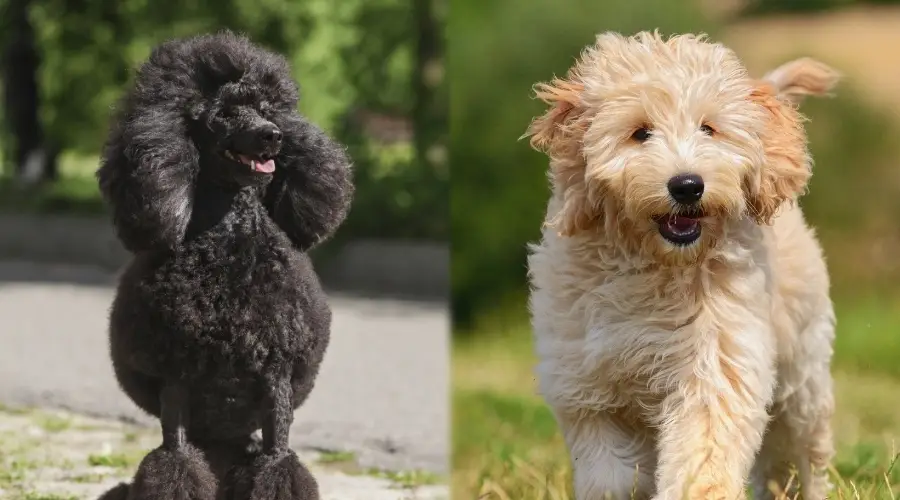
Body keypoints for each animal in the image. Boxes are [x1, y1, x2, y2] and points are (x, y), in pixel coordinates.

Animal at [95, 31, 354, 500]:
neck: (231, 245)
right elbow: (176, 462)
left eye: (267, 109)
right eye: (225, 113)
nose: (272, 137)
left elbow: (278, 460)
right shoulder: (175, 378)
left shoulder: (276, 377)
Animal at [524, 32, 840, 500]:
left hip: (802, 366)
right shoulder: (587, 381)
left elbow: (703, 448)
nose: (688, 185)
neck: (654, 264)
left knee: (799, 442)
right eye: (640, 133)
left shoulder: (715, 363)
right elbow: (610, 471)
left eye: (709, 128)